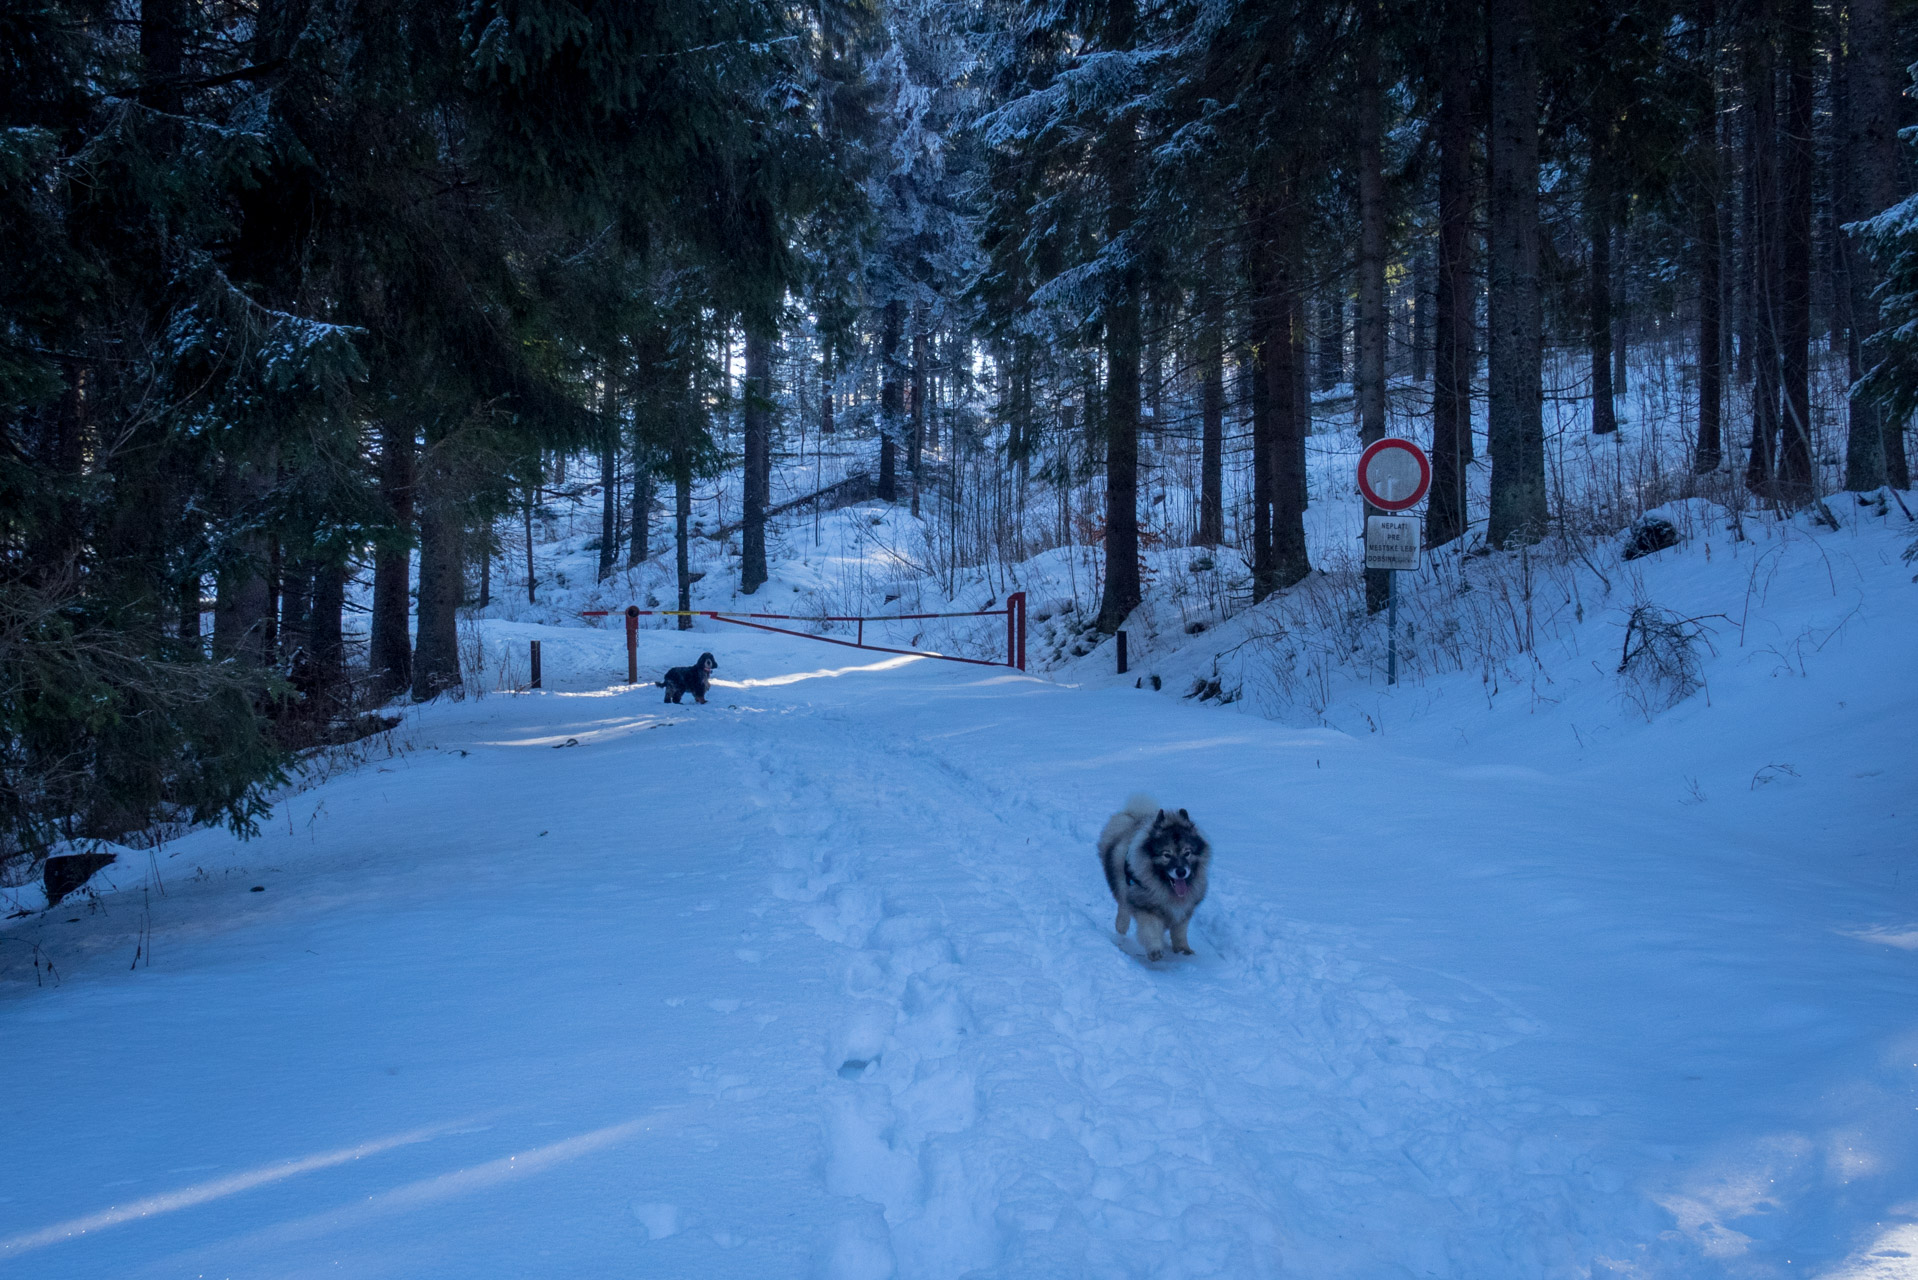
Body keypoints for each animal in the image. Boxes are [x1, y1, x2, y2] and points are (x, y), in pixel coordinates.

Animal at [1097, 790, 1212, 959]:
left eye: (1187, 853)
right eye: (1167, 855)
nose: (1181, 872)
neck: (1166, 888)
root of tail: (1134, 816)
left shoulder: (1184, 910)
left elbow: (1180, 932)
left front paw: (1183, 949)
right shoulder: (1146, 907)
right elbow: (1151, 930)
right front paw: (1155, 950)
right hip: (1121, 887)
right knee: (1123, 908)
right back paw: (1121, 929)